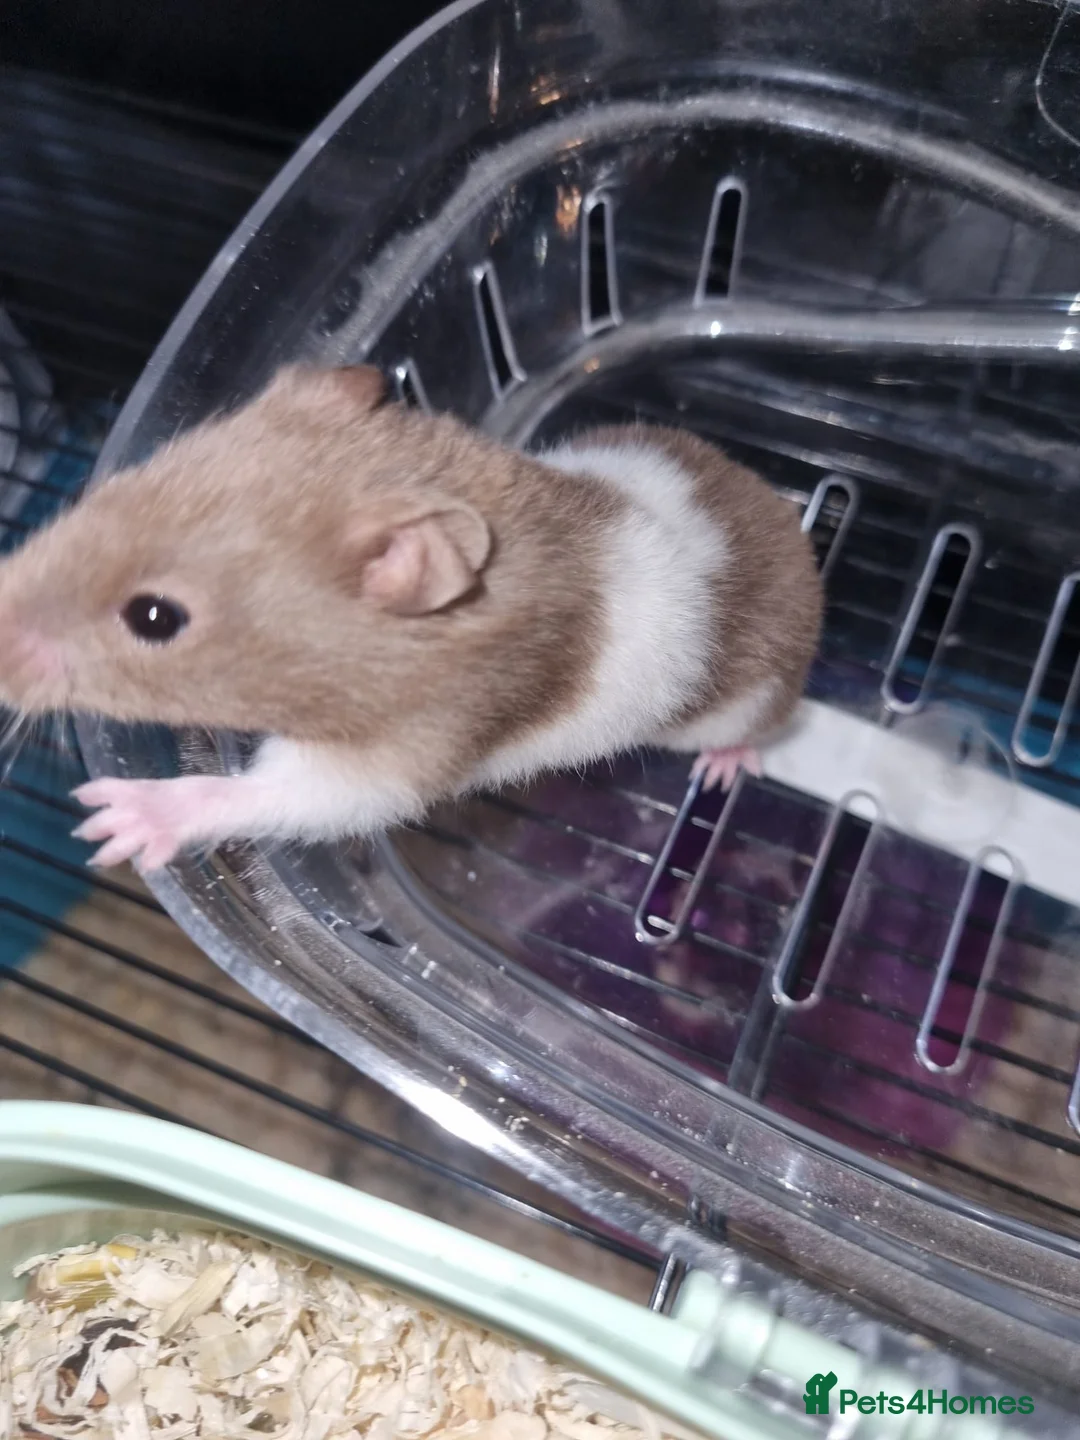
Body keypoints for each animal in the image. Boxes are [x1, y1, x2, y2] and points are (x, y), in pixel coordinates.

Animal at [0, 364, 822, 871]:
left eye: (154, 617)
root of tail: (801, 539)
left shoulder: (404, 753)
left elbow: (278, 795)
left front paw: (110, 820)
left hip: (748, 701)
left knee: (757, 730)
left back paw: (724, 769)